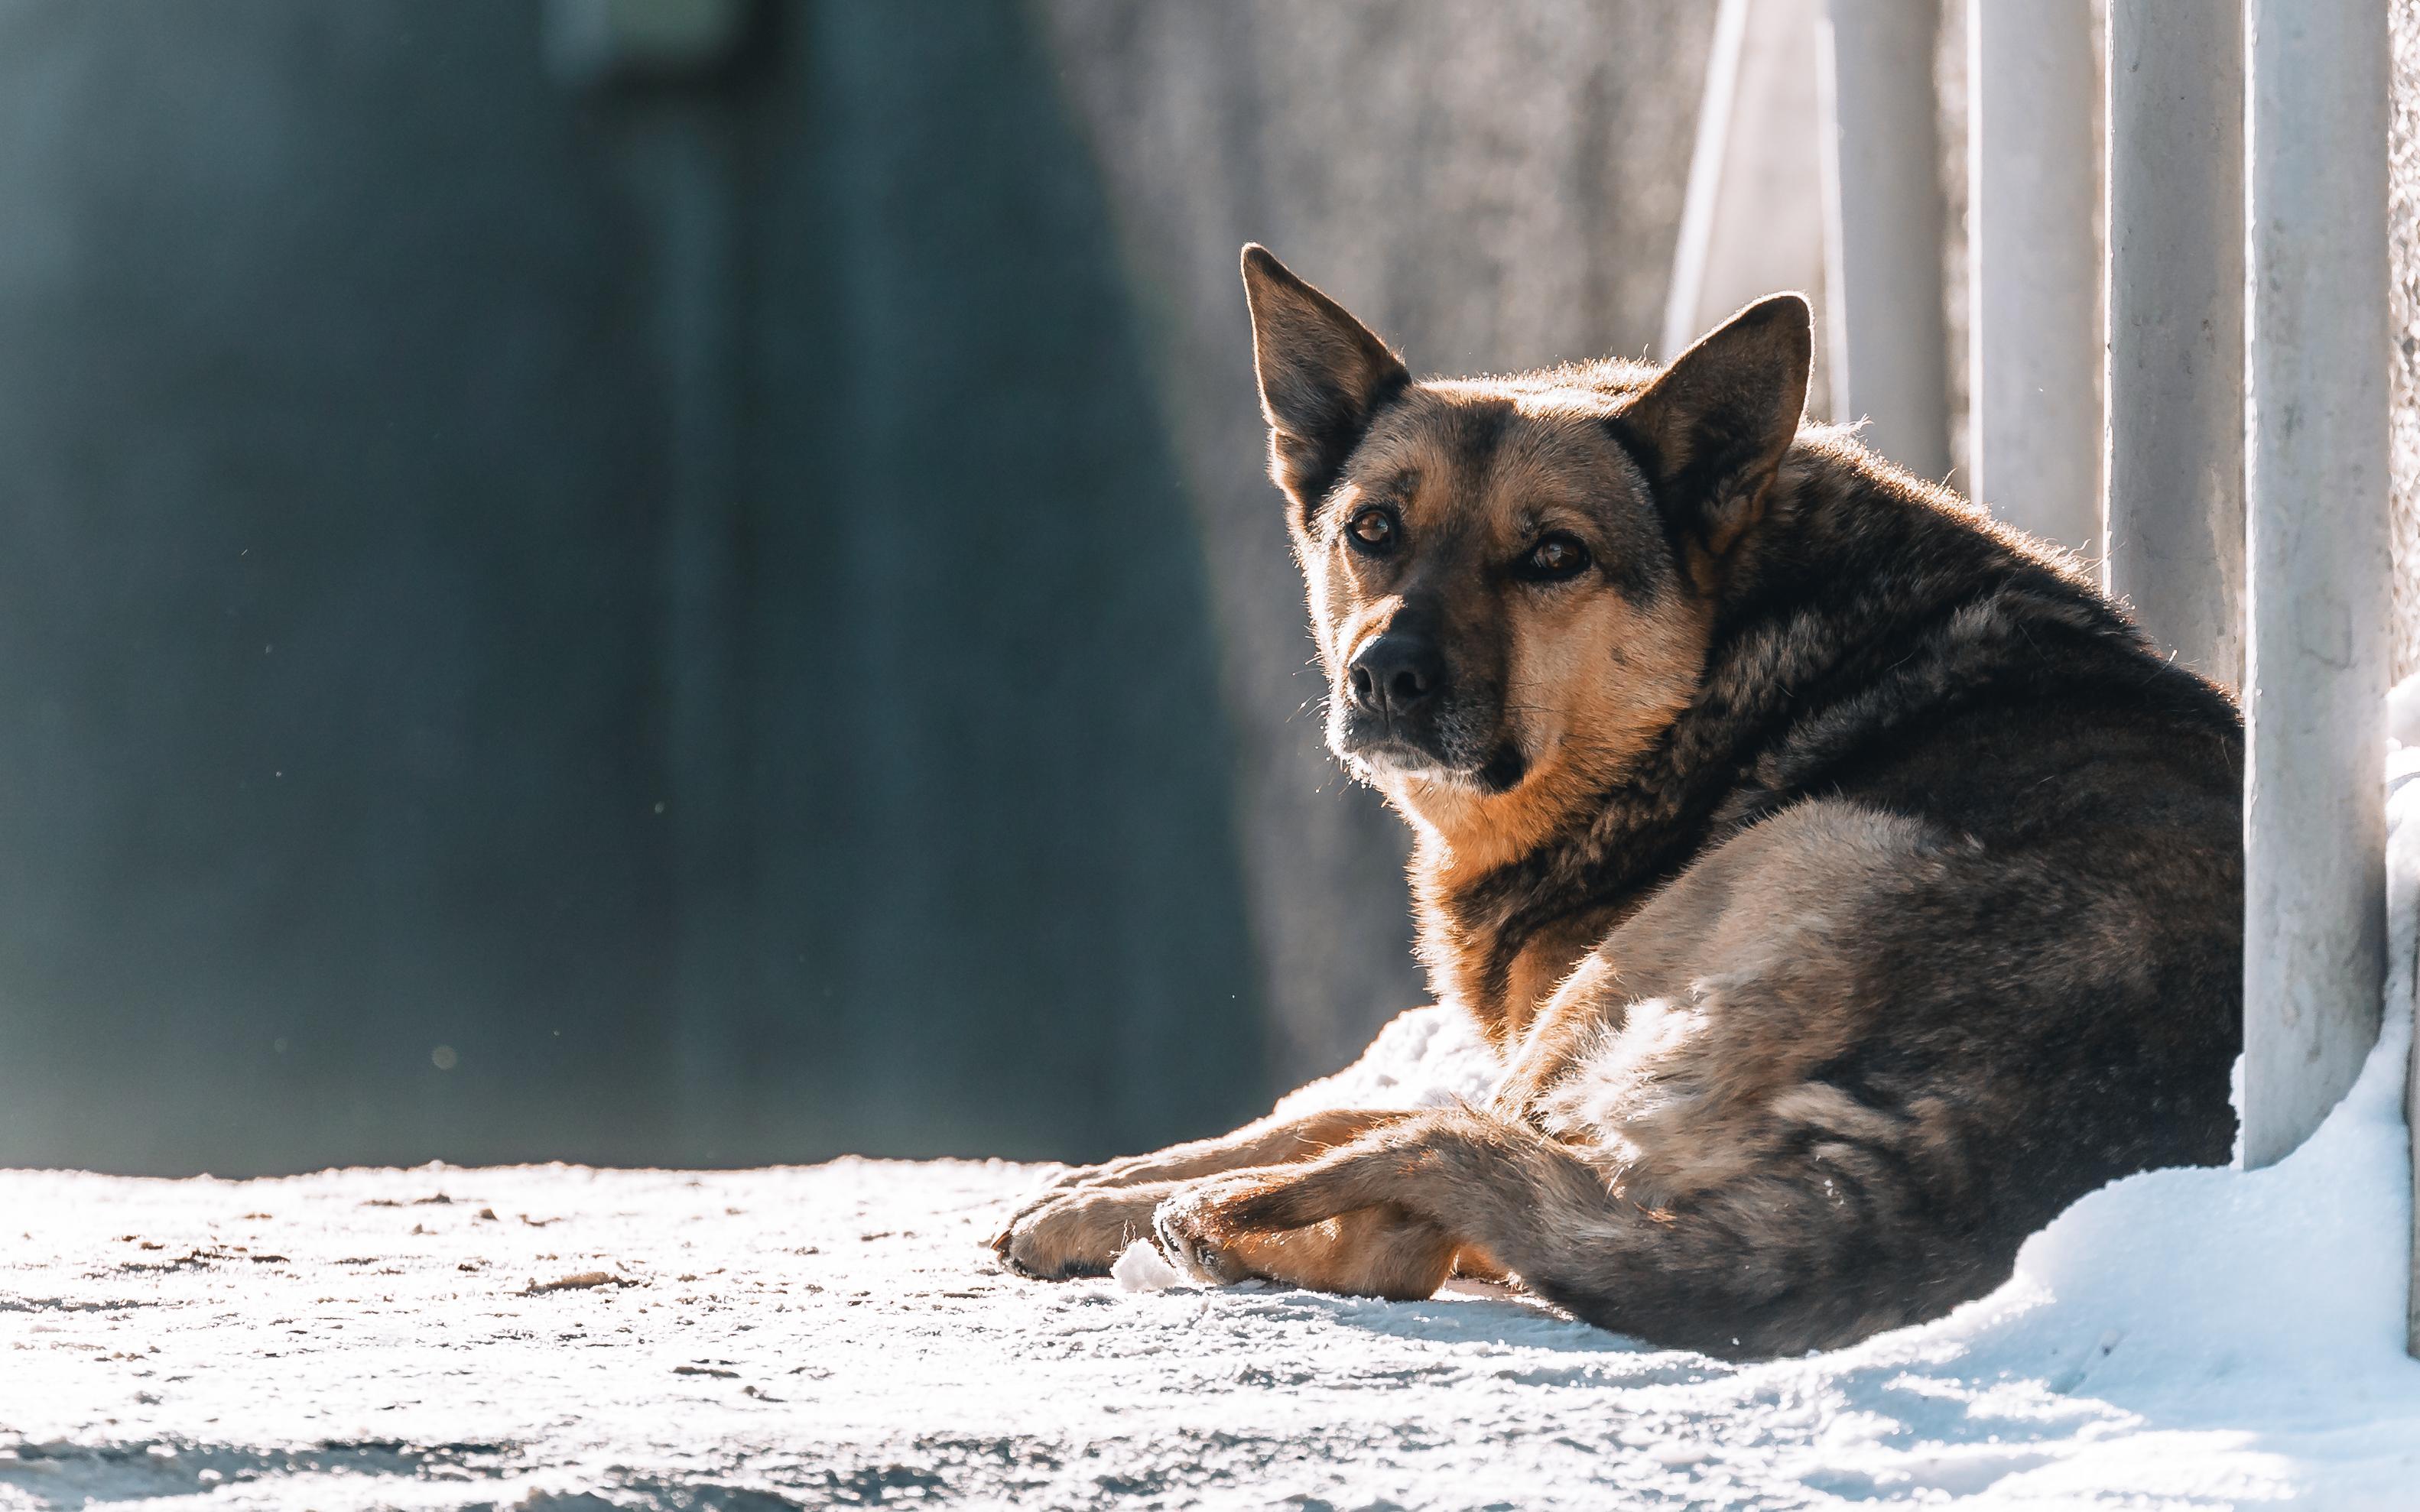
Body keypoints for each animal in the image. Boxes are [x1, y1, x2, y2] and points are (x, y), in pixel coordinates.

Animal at [992, 244, 2236, 1355]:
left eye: (1554, 556)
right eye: (1372, 530)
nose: (1384, 675)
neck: (1717, 661)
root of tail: (1966, 1153)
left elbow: (1363, 1126)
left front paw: (1103, 1198)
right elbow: (1347, 1110)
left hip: (1750, 877)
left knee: (1410, 1221)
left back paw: (1187, 1228)